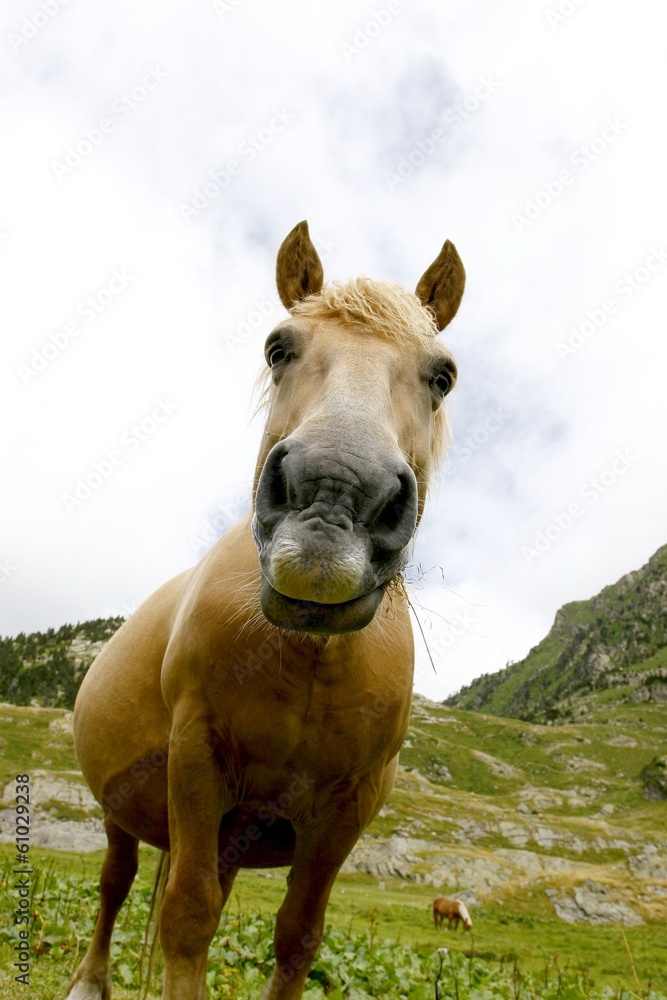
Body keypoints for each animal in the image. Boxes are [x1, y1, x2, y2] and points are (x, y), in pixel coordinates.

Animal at [66, 219, 466, 1000]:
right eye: (278, 348)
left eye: (443, 376)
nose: (334, 499)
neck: (307, 658)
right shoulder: (196, 757)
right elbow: (187, 917)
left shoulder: (345, 809)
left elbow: (298, 936)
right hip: (121, 811)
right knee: (115, 883)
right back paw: (91, 980)